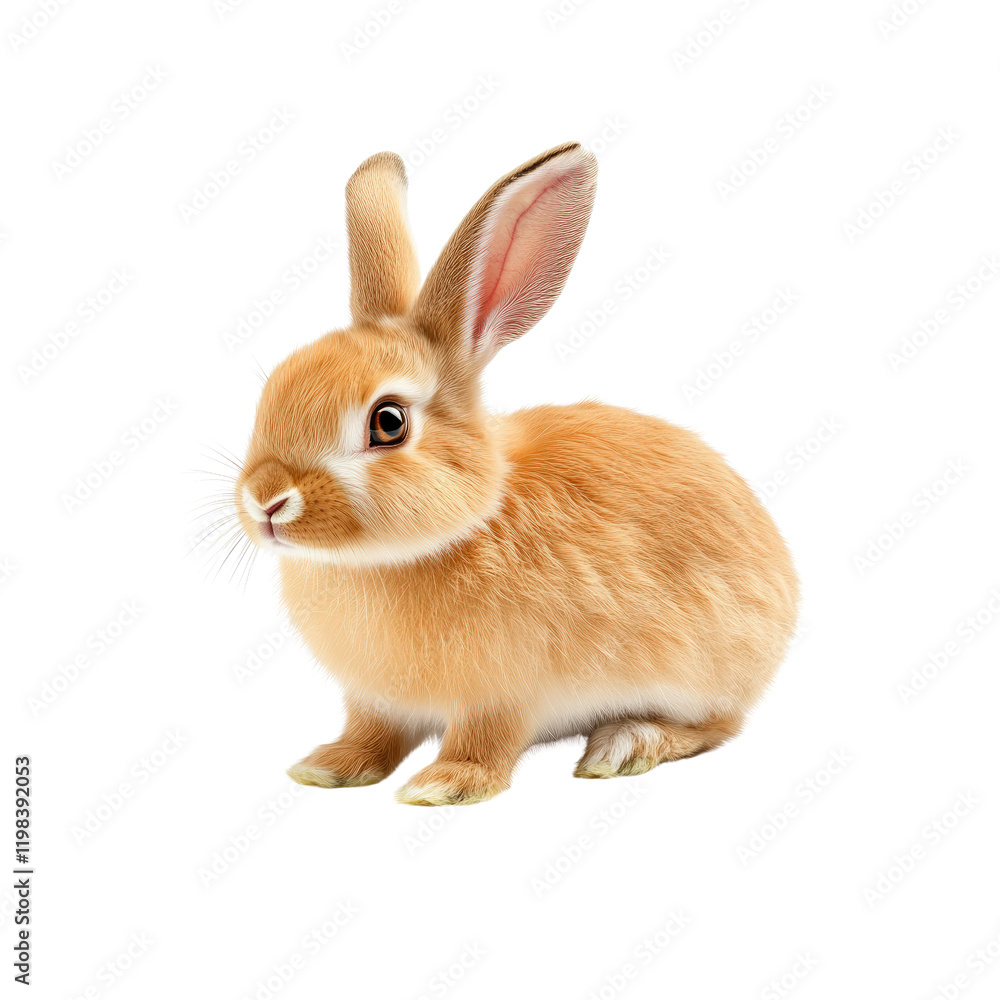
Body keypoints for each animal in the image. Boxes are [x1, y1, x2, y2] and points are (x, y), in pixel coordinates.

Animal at [233, 141, 799, 806]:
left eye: (388, 422)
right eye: (272, 392)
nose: (267, 500)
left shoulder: (503, 696)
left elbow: (486, 742)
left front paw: (444, 785)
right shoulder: (374, 701)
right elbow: (369, 732)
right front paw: (329, 767)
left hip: (697, 672)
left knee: (718, 726)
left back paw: (623, 745)